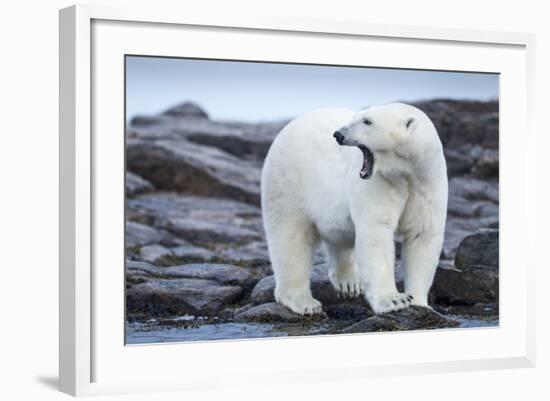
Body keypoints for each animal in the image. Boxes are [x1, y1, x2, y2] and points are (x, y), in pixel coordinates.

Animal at [264, 104, 448, 316]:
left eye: (367, 121)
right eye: (357, 117)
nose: (338, 134)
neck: (405, 173)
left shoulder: (427, 182)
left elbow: (422, 234)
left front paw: (419, 302)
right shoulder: (379, 183)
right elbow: (376, 233)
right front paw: (394, 300)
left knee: (339, 237)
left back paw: (349, 283)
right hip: (288, 182)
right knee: (290, 239)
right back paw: (303, 301)